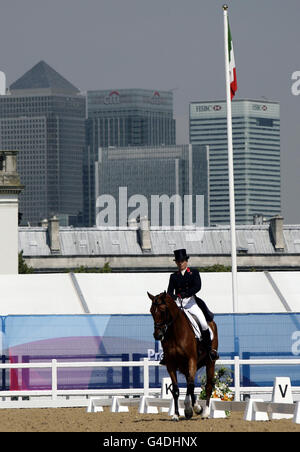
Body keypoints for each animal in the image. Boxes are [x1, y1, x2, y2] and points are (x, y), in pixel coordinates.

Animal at [147, 290, 218, 420]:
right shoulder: (171, 364)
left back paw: (204, 412)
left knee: (208, 386)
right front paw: (176, 414)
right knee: (191, 383)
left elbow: (190, 385)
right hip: (185, 367)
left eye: (163, 310)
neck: (175, 333)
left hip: (210, 362)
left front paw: (192, 409)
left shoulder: (192, 360)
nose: (157, 335)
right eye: (151, 311)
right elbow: (176, 389)